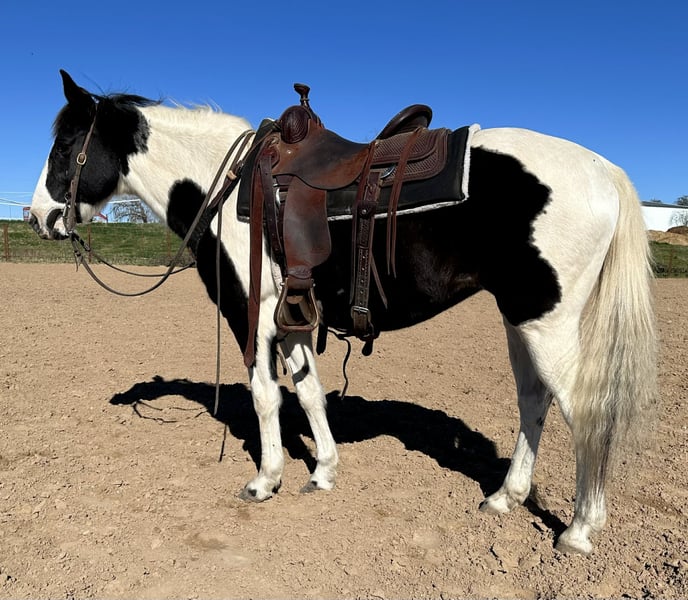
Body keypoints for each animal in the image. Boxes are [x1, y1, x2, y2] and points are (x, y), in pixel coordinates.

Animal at [29, 70, 656, 555]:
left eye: (63, 148)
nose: (40, 218)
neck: (229, 187)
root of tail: (604, 170)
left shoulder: (252, 317)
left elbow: (266, 397)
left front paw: (265, 481)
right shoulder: (291, 319)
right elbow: (308, 394)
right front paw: (324, 472)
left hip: (545, 321)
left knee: (584, 411)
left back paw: (579, 531)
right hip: (520, 320)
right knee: (534, 401)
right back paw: (505, 498)